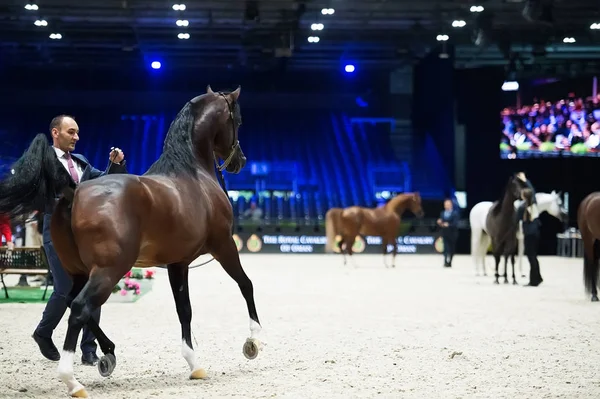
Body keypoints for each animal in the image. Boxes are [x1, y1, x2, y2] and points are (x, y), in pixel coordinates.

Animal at [0, 86, 264, 398]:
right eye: (239, 120)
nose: (240, 161)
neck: (193, 174)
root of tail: (74, 193)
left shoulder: (178, 263)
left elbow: (184, 309)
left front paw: (194, 364)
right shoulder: (224, 245)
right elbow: (246, 284)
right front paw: (253, 342)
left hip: (79, 271)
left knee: (72, 302)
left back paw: (107, 354)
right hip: (109, 270)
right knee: (79, 308)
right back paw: (72, 380)